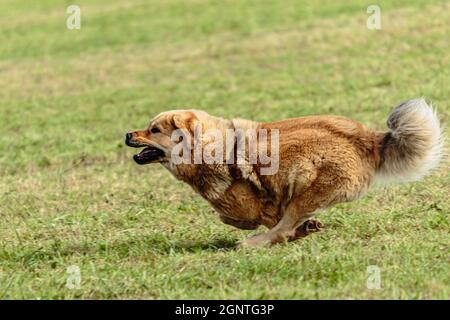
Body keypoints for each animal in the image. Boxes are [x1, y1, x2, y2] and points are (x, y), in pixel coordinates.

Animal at [125, 99, 442, 246]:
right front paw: (308, 228)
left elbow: (239, 217)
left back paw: (253, 243)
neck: (207, 147)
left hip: (308, 185)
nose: (128, 134)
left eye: (154, 130)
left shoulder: (252, 203)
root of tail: (366, 139)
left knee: (283, 227)